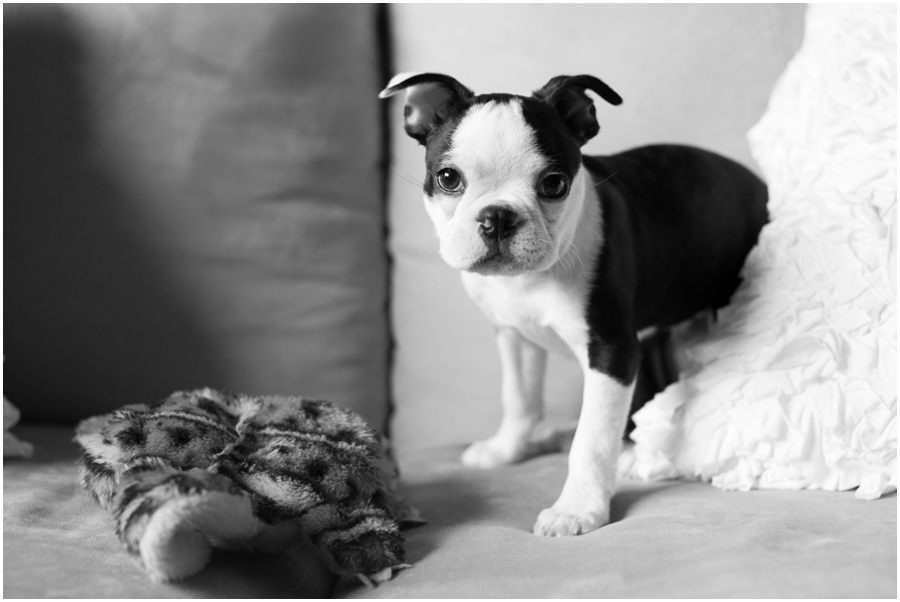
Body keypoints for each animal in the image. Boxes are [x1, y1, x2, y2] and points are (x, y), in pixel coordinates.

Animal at [380, 72, 768, 536]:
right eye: (448, 178)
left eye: (553, 184)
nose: (497, 217)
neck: (529, 280)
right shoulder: (515, 336)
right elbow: (519, 398)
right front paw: (506, 450)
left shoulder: (612, 351)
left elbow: (593, 438)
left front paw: (578, 508)